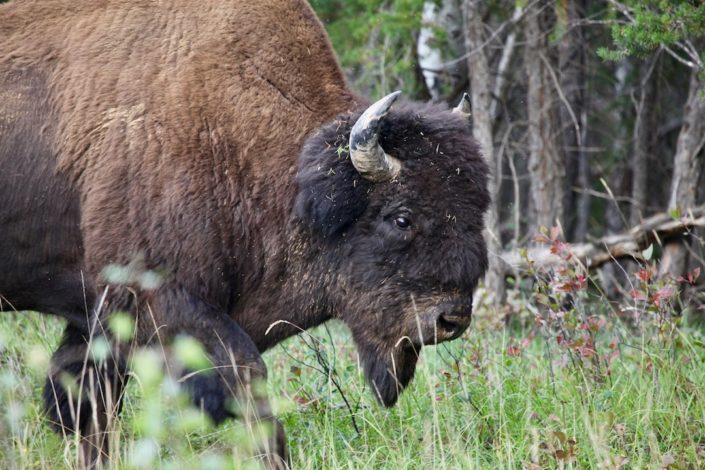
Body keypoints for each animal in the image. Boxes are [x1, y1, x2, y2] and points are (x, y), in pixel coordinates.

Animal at [0, 0, 486, 464]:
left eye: (478, 212)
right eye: (401, 218)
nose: (451, 320)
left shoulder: (95, 320)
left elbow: (90, 408)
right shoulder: (161, 297)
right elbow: (246, 381)